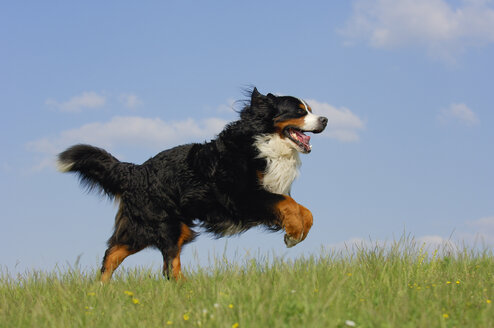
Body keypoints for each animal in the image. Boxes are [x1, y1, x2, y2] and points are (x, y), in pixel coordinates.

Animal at [58, 88, 328, 282]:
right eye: (299, 111)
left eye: (310, 109)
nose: (325, 119)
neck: (266, 143)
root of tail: (135, 171)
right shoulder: (244, 196)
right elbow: (288, 204)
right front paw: (293, 233)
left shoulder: (268, 191)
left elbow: (306, 211)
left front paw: (296, 235)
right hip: (166, 224)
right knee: (169, 267)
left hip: (146, 228)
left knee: (113, 254)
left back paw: (101, 289)